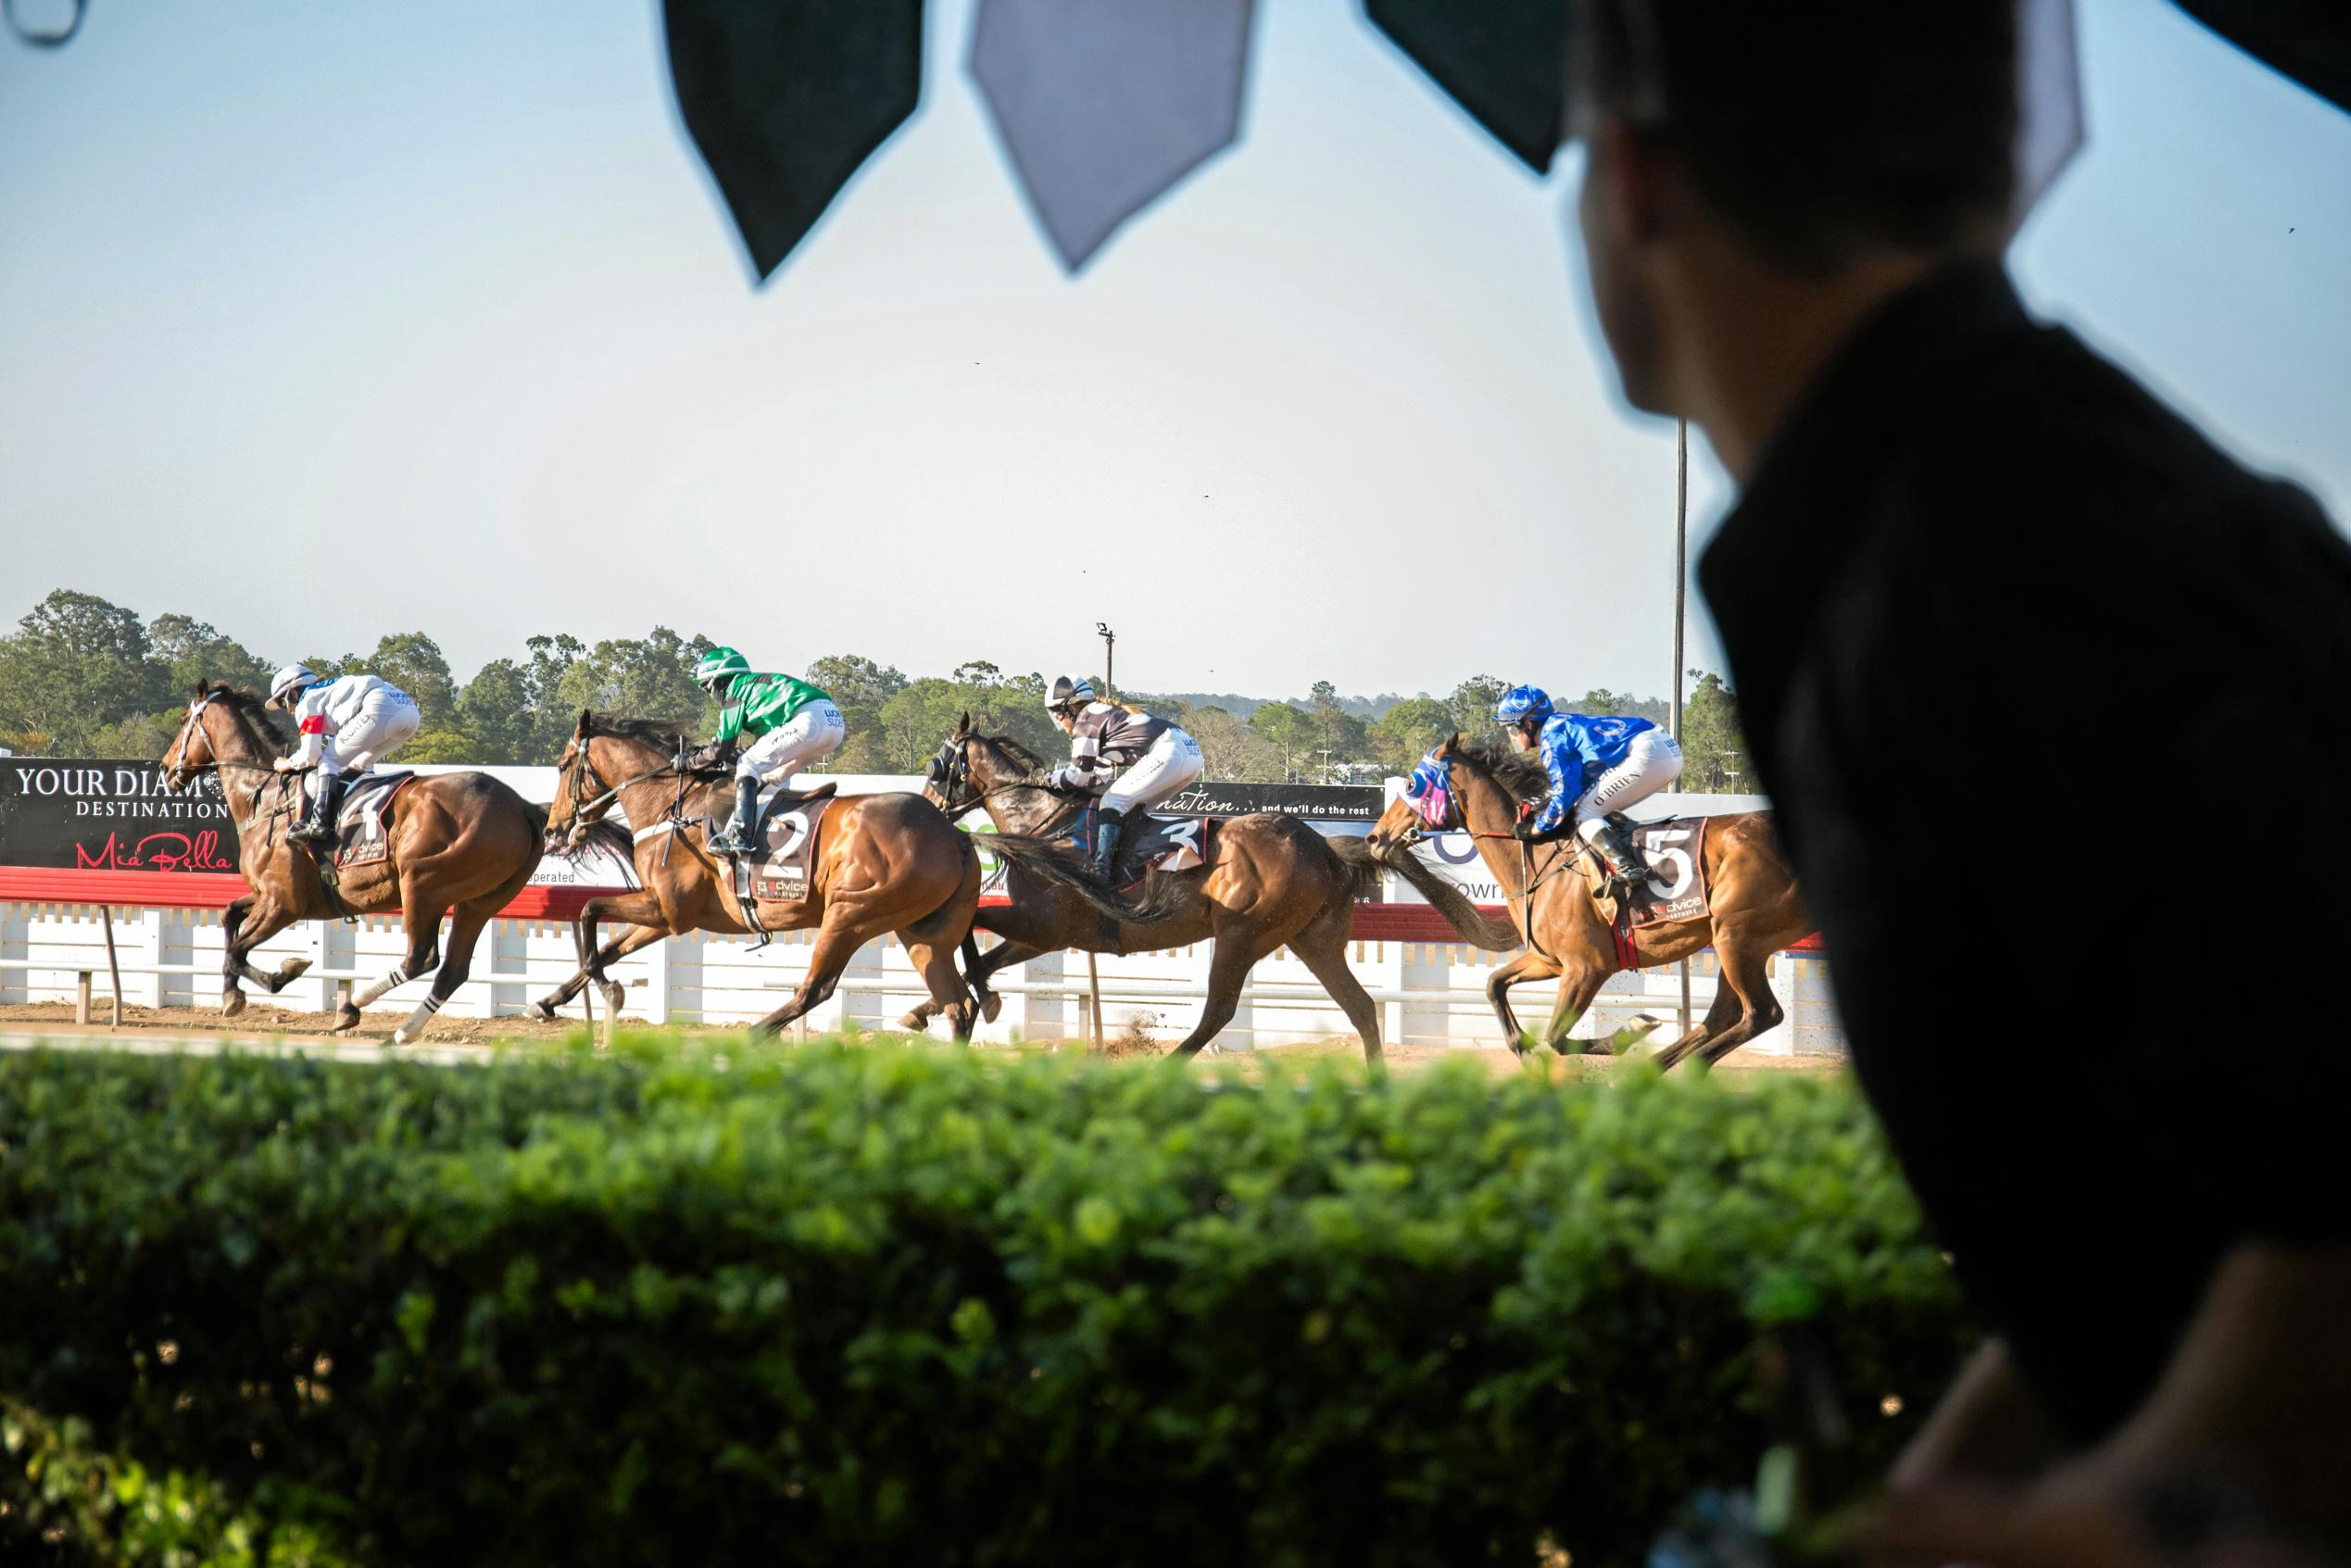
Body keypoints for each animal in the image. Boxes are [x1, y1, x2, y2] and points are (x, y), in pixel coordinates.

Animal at [165, 682, 549, 1043]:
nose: (167, 769)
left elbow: (237, 951)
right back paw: (401, 1032)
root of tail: (523, 806)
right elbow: (229, 918)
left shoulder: (283, 903)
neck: (264, 798)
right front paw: (231, 995)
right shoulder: (270, 896)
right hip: (479, 902)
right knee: (451, 971)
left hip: (421, 882)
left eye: (184, 721)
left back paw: (353, 1005)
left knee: (421, 958)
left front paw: (284, 972)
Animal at [529, 714, 977, 1043]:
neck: (671, 806)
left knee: (815, 989)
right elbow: (611, 947)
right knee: (960, 1005)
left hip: (850, 914)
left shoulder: (669, 909)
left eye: (563, 766)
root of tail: (953, 834)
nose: (553, 829)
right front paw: (548, 1000)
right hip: (920, 931)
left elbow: (590, 912)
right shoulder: (669, 914)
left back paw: (755, 1033)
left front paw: (610, 990)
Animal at [907, 714, 1382, 1067]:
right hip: (1312, 939)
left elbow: (973, 929)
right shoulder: (1040, 936)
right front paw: (924, 1010)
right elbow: (983, 959)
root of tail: (1324, 849)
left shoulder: (1043, 925)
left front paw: (980, 1002)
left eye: (936, 764)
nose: (927, 806)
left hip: (1243, 935)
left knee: (1220, 1009)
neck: (1047, 828)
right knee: (1360, 1006)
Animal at [1353, 738, 1805, 1067]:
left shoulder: (1587, 968)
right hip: (1740, 942)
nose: (1375, 837)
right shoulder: (1551, 961)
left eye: (1412, 785)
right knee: (1723, 1018)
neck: (1534, 858)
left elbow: (1555, 1037)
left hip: (1736, 937)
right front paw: (1522, 1045)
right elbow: (1494, 985)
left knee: (1762, 1014)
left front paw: (1628, 1032)